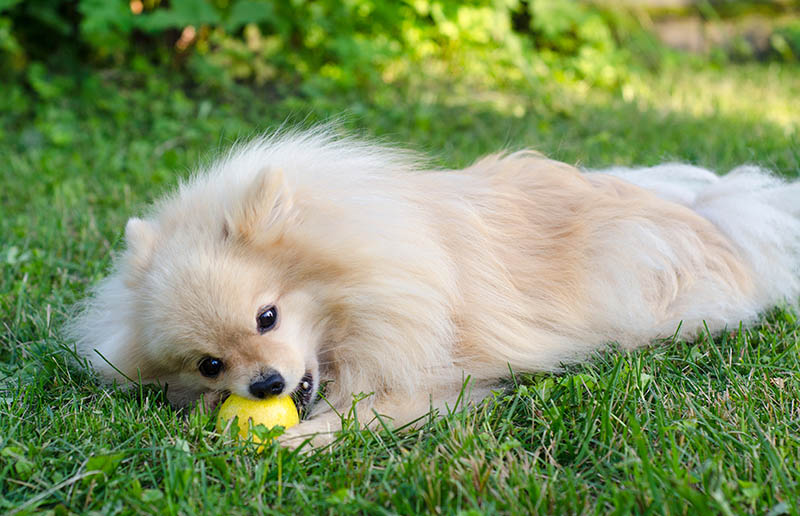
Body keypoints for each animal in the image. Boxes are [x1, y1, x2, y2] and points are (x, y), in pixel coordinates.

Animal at [67, 128, 800, 448]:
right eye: (210, 366)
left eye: (267, 317)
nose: (266, 385)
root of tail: (716, 217)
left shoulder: (424, 376)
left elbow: (359, 414)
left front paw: (288, 442)